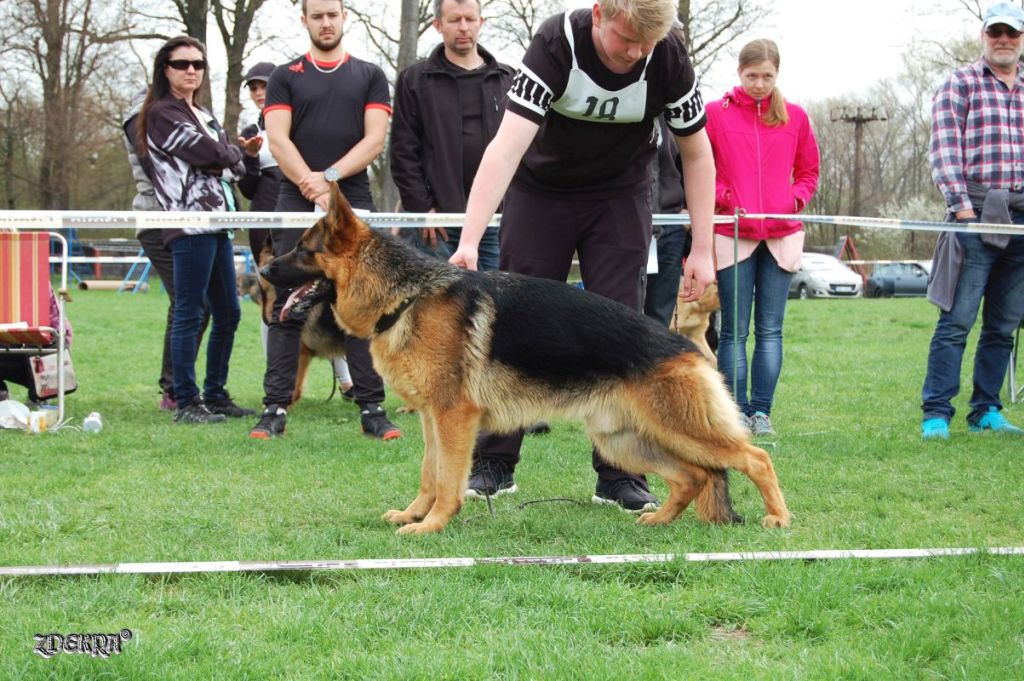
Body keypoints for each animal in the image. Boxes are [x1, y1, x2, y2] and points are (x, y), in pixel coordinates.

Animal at [264, 183, 790, 532]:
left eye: (303, 250)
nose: (266, 272)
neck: (406, 296)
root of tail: (685, 346)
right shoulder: (433, 418)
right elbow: (430, 473)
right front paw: (415, 513)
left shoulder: (455, 418)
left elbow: (448, 480)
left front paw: (432, 525)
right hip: (623, 439)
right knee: (693, 477)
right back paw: (659, 518)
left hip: (679, 429)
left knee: (755, 458)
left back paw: (778, 517)